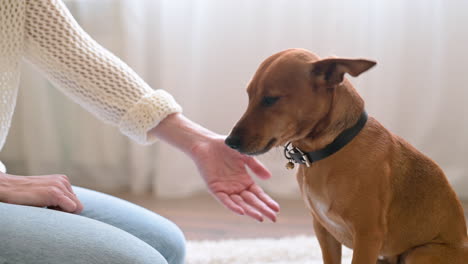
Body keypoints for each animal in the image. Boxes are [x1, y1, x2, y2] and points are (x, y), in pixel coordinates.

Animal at [226, 48, 468, 262]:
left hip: (420, 254)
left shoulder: (367, 237)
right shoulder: (324, 232)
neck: (331, 148)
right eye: (249, 96)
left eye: (270, 99)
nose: (229, 142)